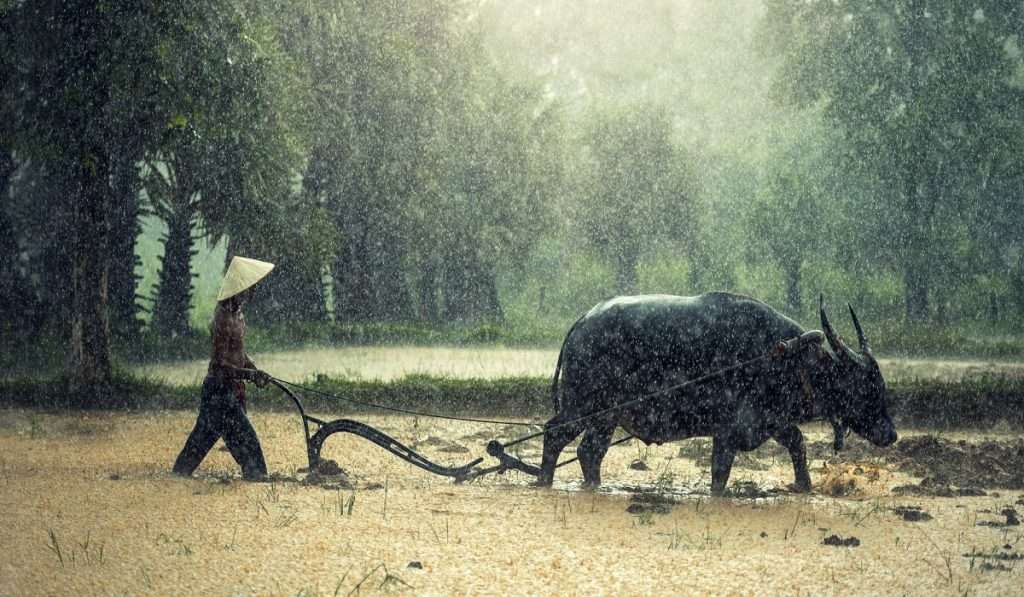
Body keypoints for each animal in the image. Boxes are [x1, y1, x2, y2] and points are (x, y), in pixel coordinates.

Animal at [536, 290, 897, 495]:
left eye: (881, 386)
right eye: (865, 388)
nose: (891, 434)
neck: (786, 358)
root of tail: (583, 321)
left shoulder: (772, 421)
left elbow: (798, 443)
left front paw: (805, 486)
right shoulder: (729, 432)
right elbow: (720, 472)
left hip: (607, 417)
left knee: (589, 451)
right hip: (583, 405)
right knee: (554, 433)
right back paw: (543, 481)